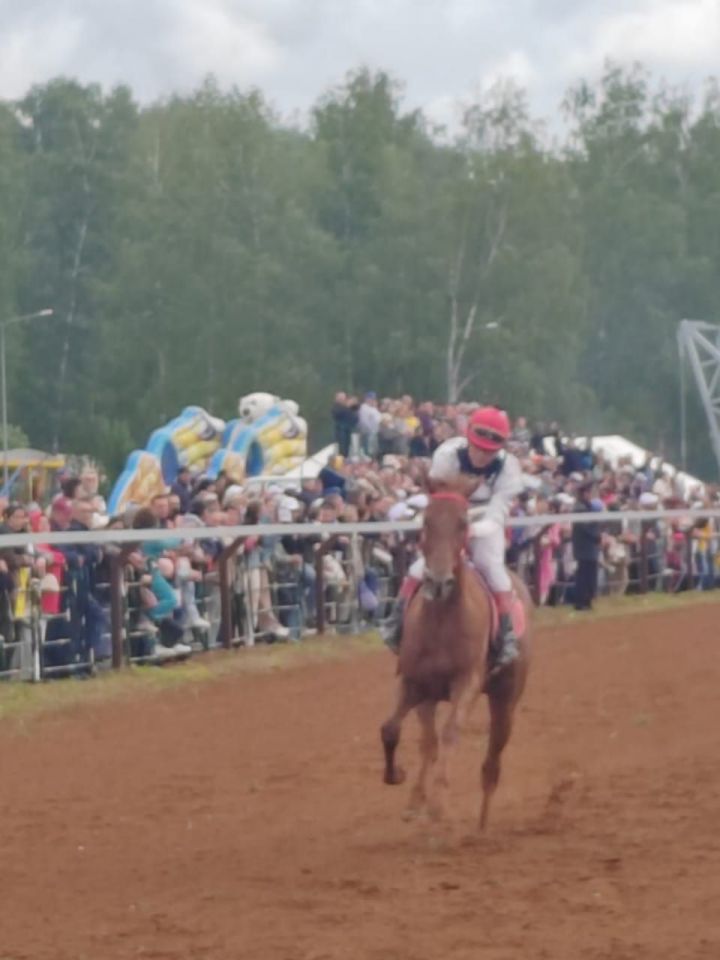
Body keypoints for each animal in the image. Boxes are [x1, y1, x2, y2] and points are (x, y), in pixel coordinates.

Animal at [380, 492, 532, 828]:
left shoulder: (467, 683)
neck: (441, 622)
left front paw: (439, 805)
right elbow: (392, 729)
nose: (438, 582)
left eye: (463, 524)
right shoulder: (413, 682)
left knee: (492, 761)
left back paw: (481, 825)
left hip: (505, 700)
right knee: (429, 743)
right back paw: (417, 801)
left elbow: (450, 733)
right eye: (425, 522)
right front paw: (399, 778)